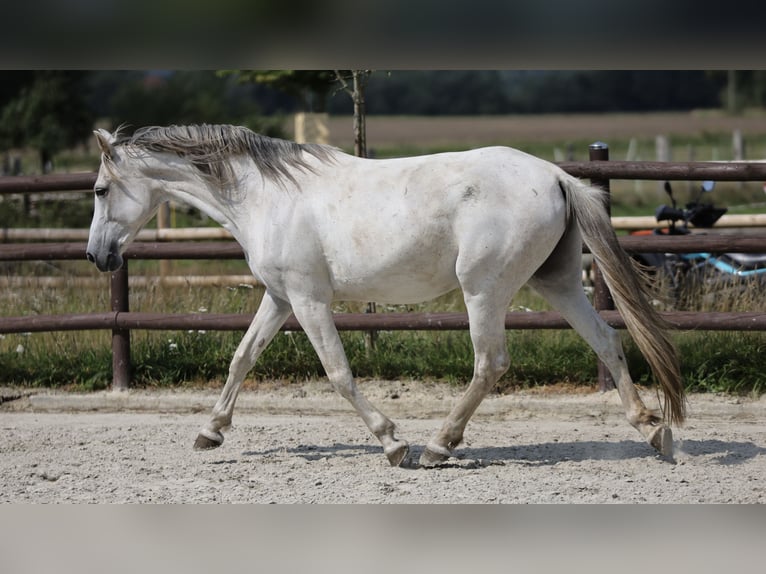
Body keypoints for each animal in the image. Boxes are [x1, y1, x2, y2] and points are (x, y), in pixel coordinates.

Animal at [86, 124, 685, 467]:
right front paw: (209, 433)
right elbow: (241, 358)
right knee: (607, 340)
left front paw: (392, 443)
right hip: (555, 281)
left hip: (484, 289)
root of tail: (559, 176)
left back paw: (438, 446)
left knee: (490, 362)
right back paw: (653, 430)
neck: (265, 196)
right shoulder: (280, 298)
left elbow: (338, 373)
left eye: (99, 189)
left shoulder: (308, 300)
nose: (97, 256)